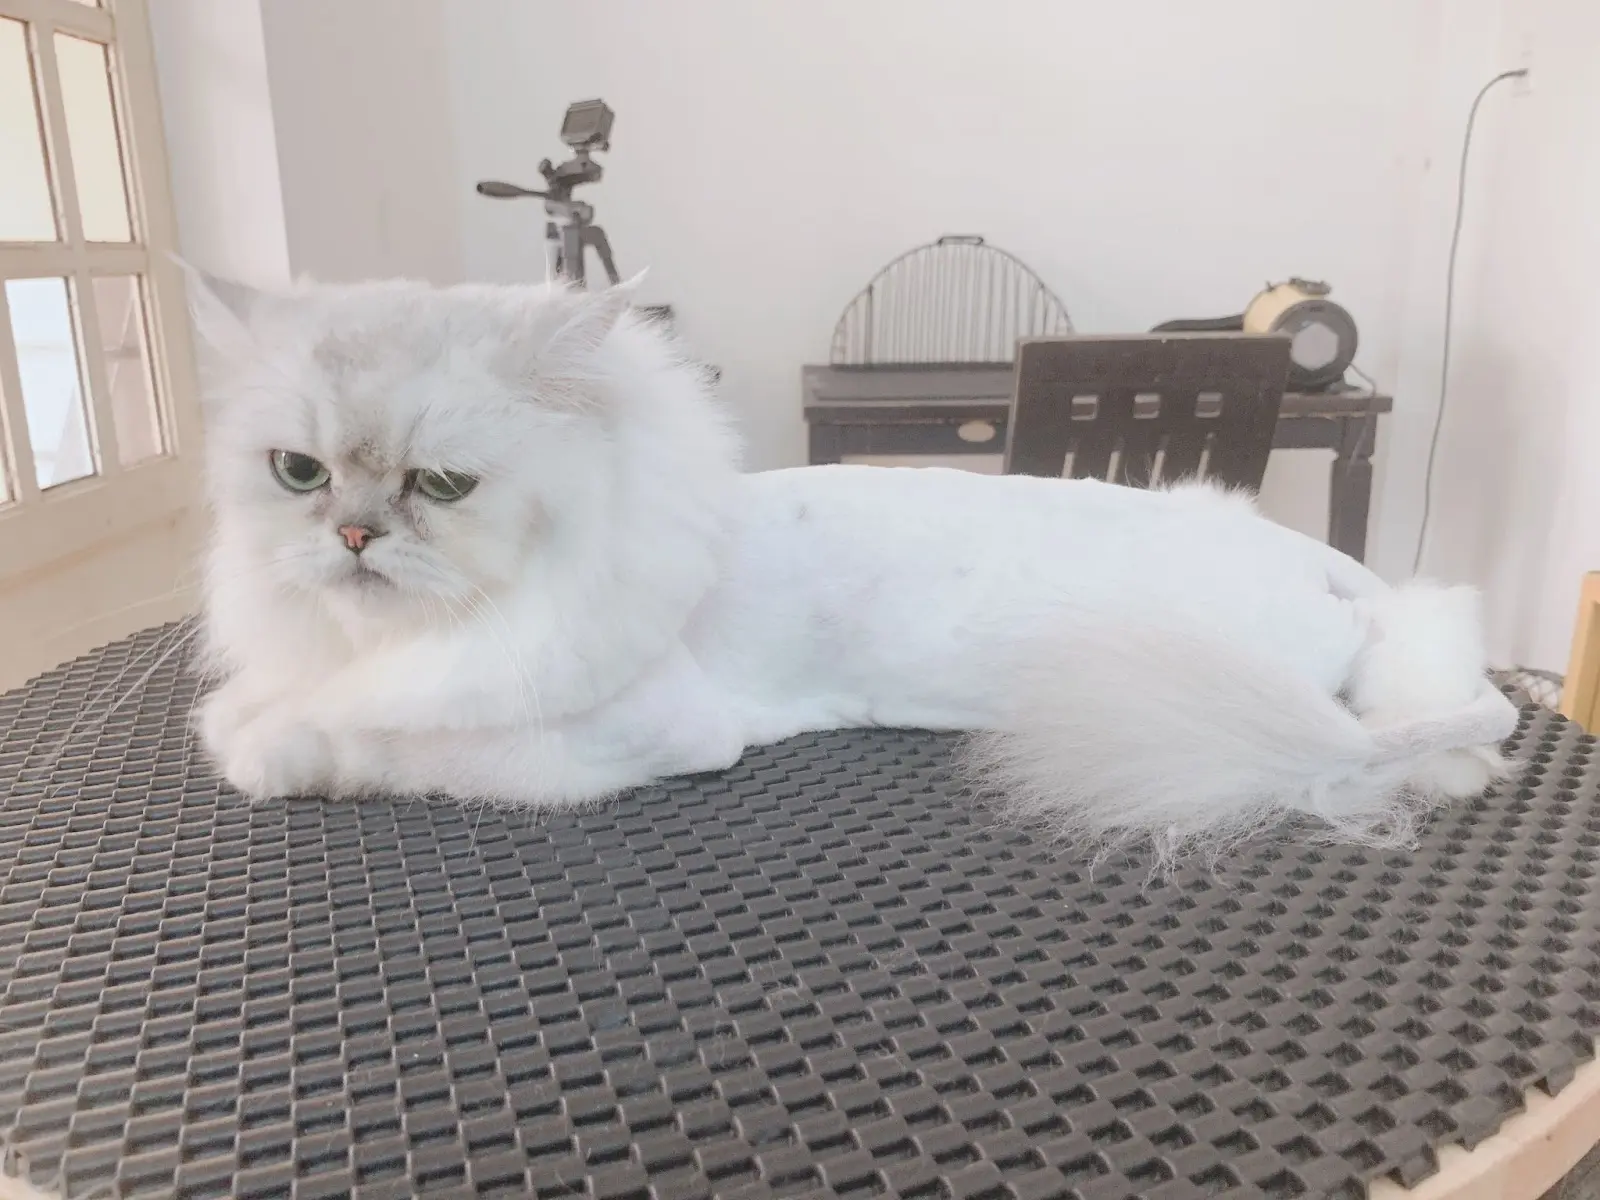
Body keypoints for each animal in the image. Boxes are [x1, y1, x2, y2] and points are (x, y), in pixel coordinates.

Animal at [187, 270, 1516, 863]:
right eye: (299, 474)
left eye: (443, 486)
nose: (353, 536)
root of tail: (1338, 575)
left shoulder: (631, 734)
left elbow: (380, 736)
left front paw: (273, 751)